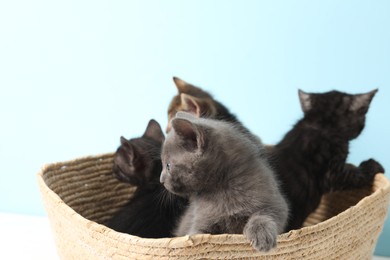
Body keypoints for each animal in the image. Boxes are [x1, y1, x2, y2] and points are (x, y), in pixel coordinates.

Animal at [159, 111, 290, 252]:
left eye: (168, 166)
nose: (161, 180)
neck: (221, 189)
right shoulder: (201, 221)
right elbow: (197, 234)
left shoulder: (275, 203)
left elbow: (264, 215)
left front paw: (261, 235)